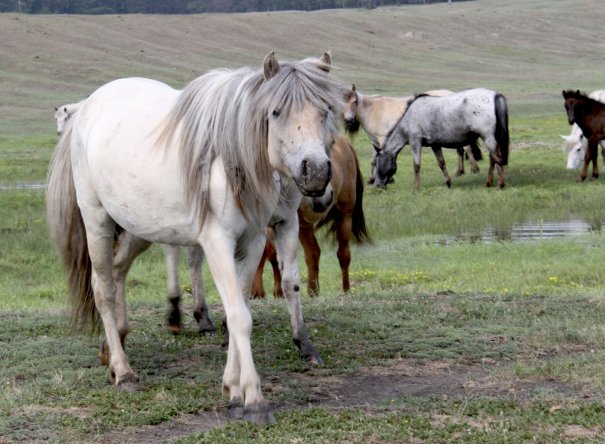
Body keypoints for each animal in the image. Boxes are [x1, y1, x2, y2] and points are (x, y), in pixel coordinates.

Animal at [46, 50, 344, 424]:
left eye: (326, 110)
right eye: (276, 112)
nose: (316, 172)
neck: (231, 160)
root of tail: (87, 107)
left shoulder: (254, 241)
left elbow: (243, 307)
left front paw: (233, 388)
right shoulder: (217, 242)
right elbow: (239, 316)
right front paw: (255, 400)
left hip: (139, 227)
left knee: (117, 271)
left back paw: (113, 352)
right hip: (97, 219)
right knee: (103, 289)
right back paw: (124, 371)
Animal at [249, 134, 368, 298]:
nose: (323, 196)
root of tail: (345, 142)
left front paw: (264, 291)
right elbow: (270, 254)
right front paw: (269, 292)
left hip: (342, 215)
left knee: (339, 254)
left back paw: (338, 290)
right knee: (321, 252)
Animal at [376, 87, 508, 190]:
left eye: (376, 164)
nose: (377, 184)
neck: (409, 117)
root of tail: (495, 94)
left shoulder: (415, 142)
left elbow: (416, 166)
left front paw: (416, 187)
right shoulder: (434, 145)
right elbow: (441, 163)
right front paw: (448, 182)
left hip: (488, 138)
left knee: (495, 157)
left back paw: (499, 184)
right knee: (493, 159)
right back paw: (488, 183)